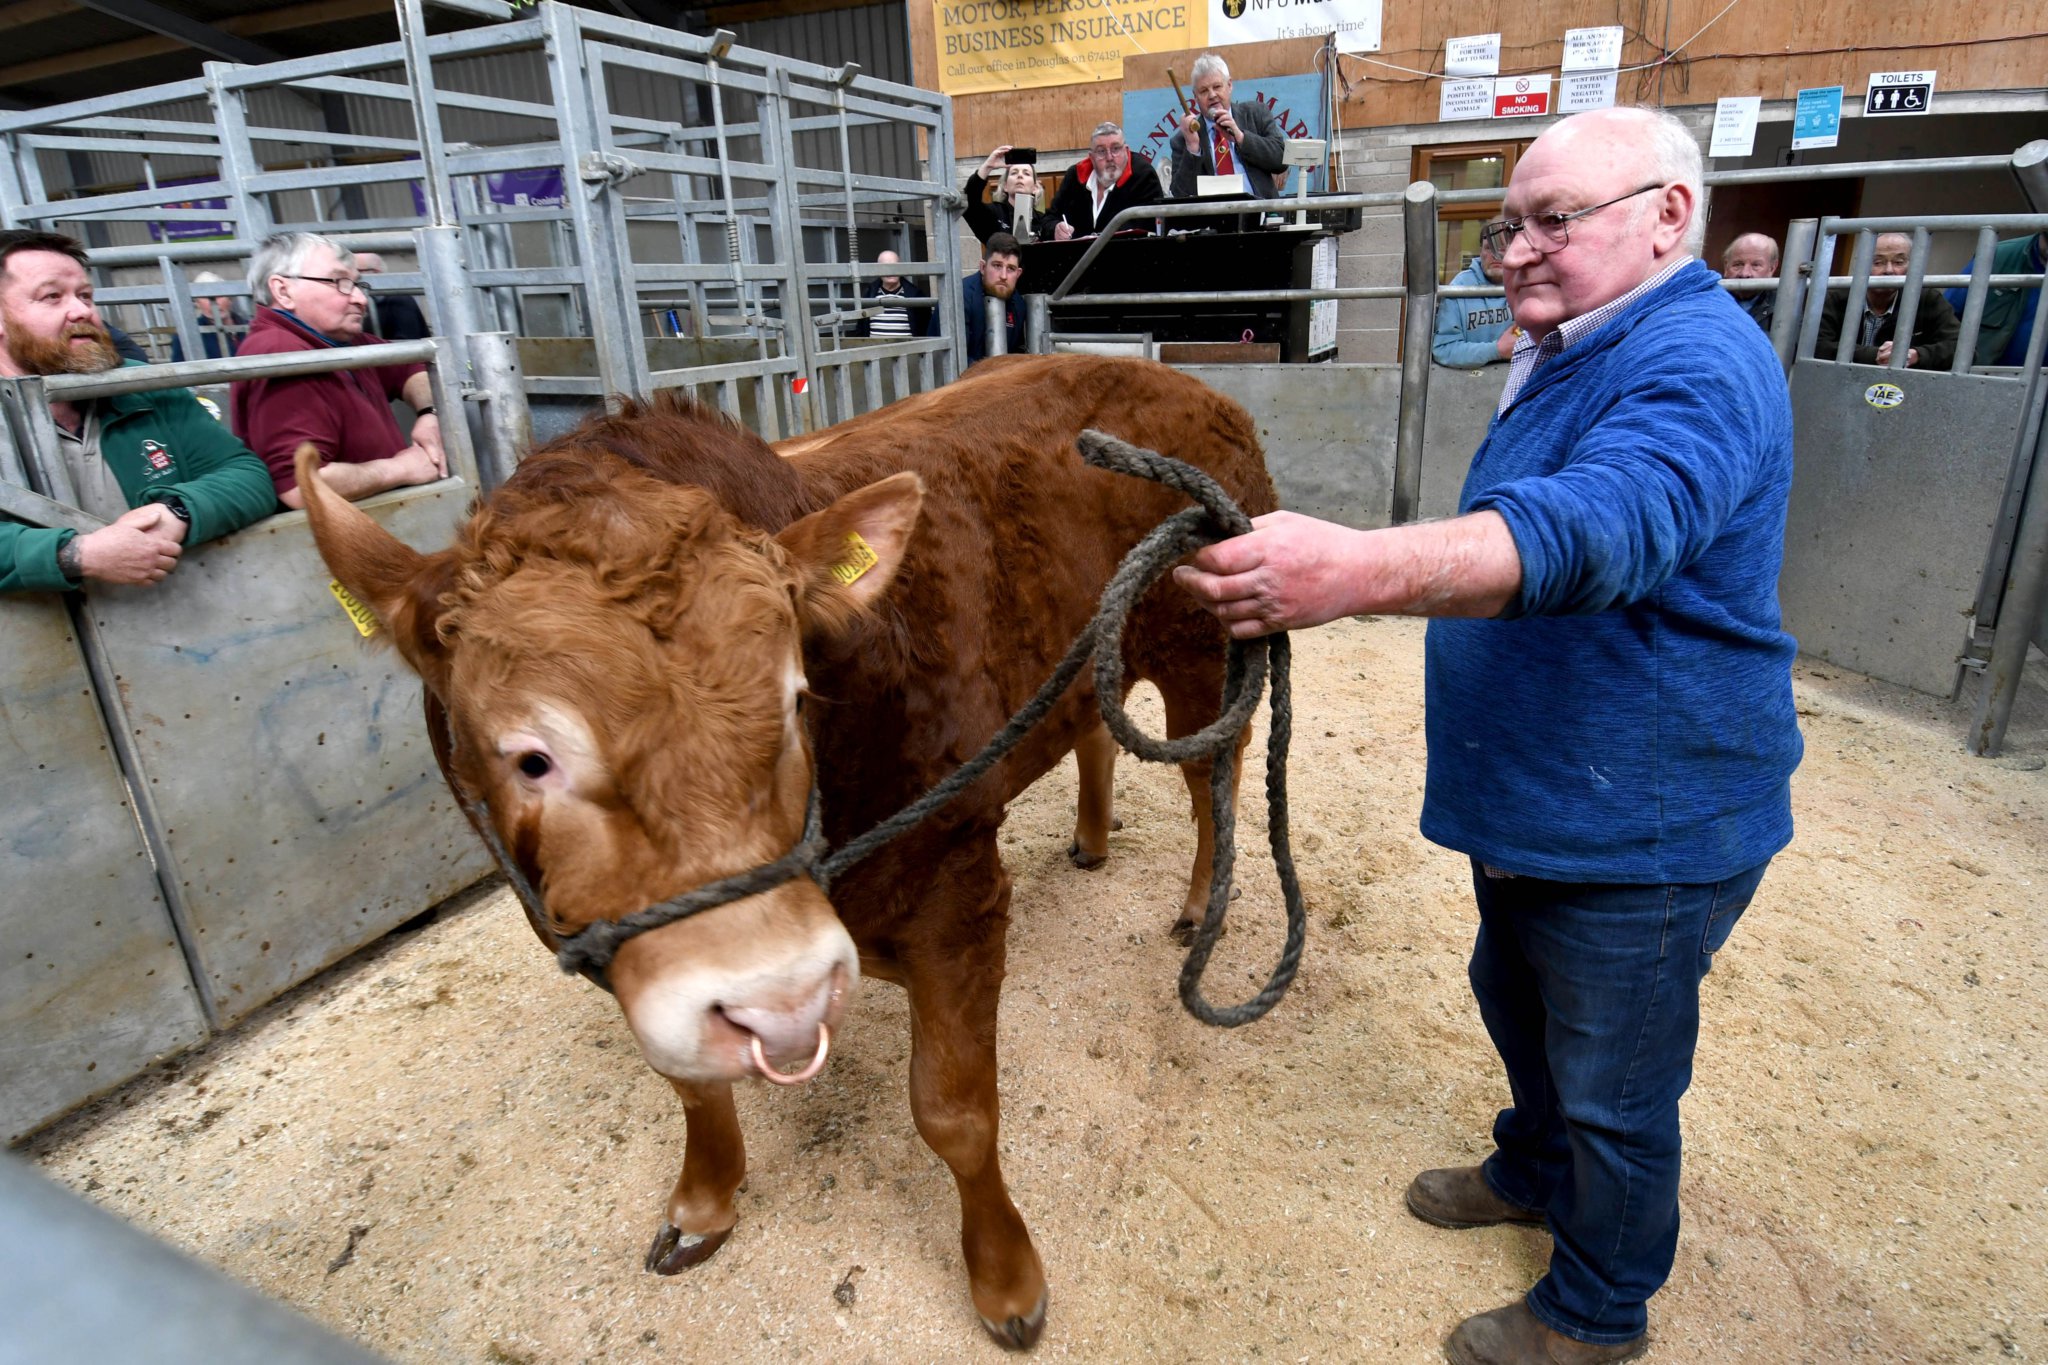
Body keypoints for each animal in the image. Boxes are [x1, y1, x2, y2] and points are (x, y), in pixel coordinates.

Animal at [298, 353, 1278, 1349]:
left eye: (797, 695)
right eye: (529, 756)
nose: (784, 996)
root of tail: (1178, 379)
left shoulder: (956, 887)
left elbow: (954, 1109)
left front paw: (1007, 1282)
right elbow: (690, 1082)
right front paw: (702, 1205)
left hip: (1205, 640)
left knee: (1217, 769)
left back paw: (1200, 901)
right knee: (1095, 729)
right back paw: (1089, 838)